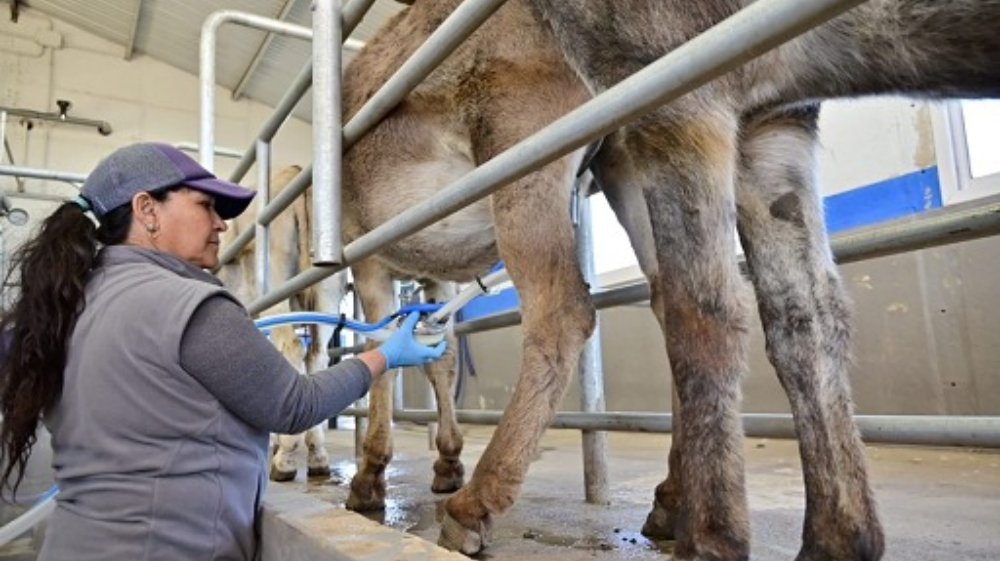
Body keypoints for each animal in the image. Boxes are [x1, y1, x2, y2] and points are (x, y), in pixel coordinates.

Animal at [341, 1, 1000, 559]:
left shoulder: (365, 257)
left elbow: (371, 351)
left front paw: (371, 476)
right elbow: (437, 359)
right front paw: (440, 463)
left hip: (530, 138)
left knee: (572, 309)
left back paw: (477, 506)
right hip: (637, 153)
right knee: (740, 306)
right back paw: (681, 502)